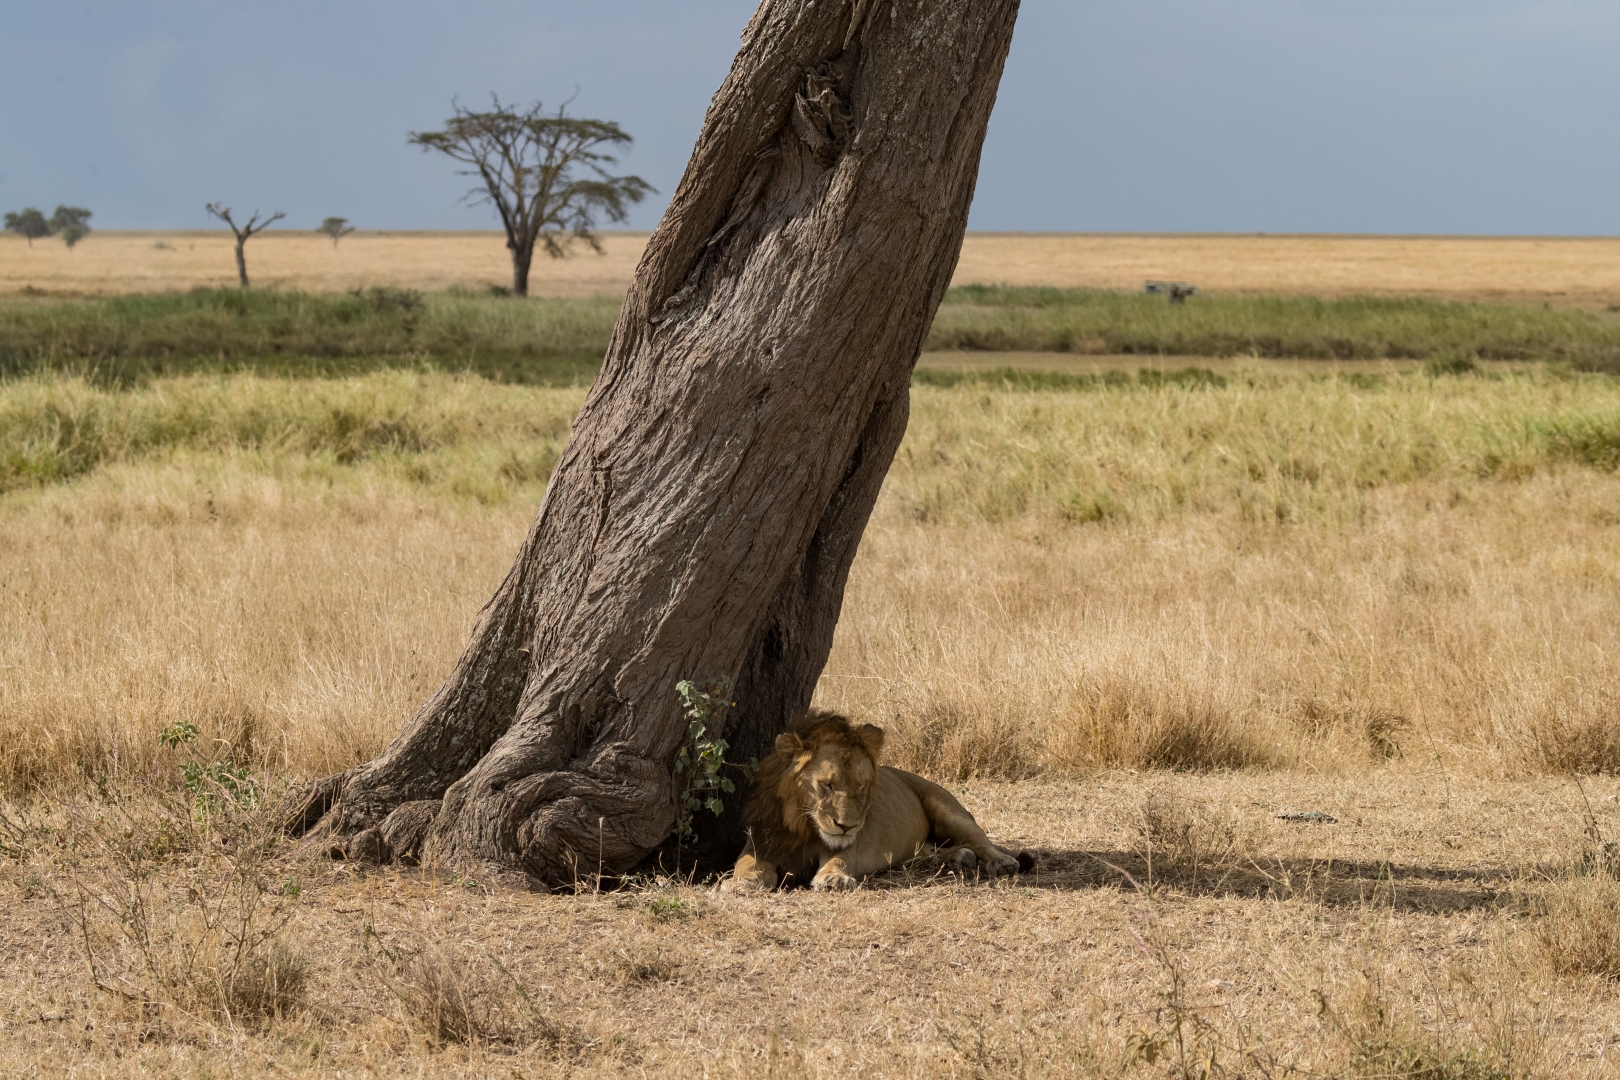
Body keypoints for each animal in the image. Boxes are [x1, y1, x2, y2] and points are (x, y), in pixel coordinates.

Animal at [719, 709, 1023, 893]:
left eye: (861, 786)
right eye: (826, 785)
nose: (847, 826)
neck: (803, 826)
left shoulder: (849, 847)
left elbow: (839, 859)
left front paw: (832, 878)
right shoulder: (761, 839)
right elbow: (746, 862)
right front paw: (740, 882)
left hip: (949, 811)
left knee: (981, 842)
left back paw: (1000, 862)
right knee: (928, 851)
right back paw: (959, 857)